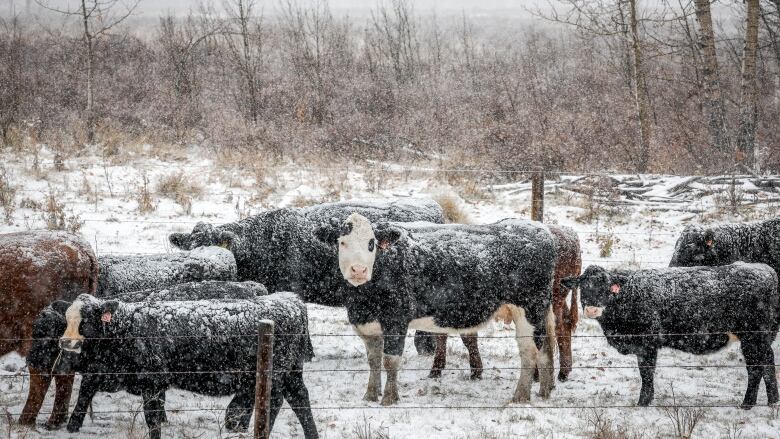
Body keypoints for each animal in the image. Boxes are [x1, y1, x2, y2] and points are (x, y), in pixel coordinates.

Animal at [53, 288, 316, 439]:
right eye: (66, 319)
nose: (66, 342)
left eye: (86, 320)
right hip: (292, 371)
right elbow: (85, 393)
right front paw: (72, 427)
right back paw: (312, 434)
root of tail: (288, 299)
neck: (128, 327)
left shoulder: (151, 382)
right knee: (299, 398)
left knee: (275, 401)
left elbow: (152, 418)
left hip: (276, 373)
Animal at [314, 215, 556, 408]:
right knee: (545, 347)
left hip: (529, 309)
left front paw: (390, 399)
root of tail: (538, 228)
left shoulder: (396, 319)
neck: (362, 301)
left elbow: (390, 360)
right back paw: (544, 392)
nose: (359, 270)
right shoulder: (367, 324)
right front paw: (370, 396)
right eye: (342, 242)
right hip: (539, 311)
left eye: (371, 243)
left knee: (529, 352)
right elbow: (373, 361)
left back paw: (520, 397)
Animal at [430, 225, 580, 384]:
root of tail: (568, 233)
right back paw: (563, 372)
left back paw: (539, 374)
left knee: (553, 331)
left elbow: (463, 338)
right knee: (564, 326)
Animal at [564, 262, 776, 410]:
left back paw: (747, 404)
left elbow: (646, 373)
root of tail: (764, 269)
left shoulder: (647, 344)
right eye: (584, 286)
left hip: (753, 338)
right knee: (768, 363)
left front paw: (643, 403)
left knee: (756, 369)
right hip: (762, 339)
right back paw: (773, 401)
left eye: (606, 286)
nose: (592, 309)